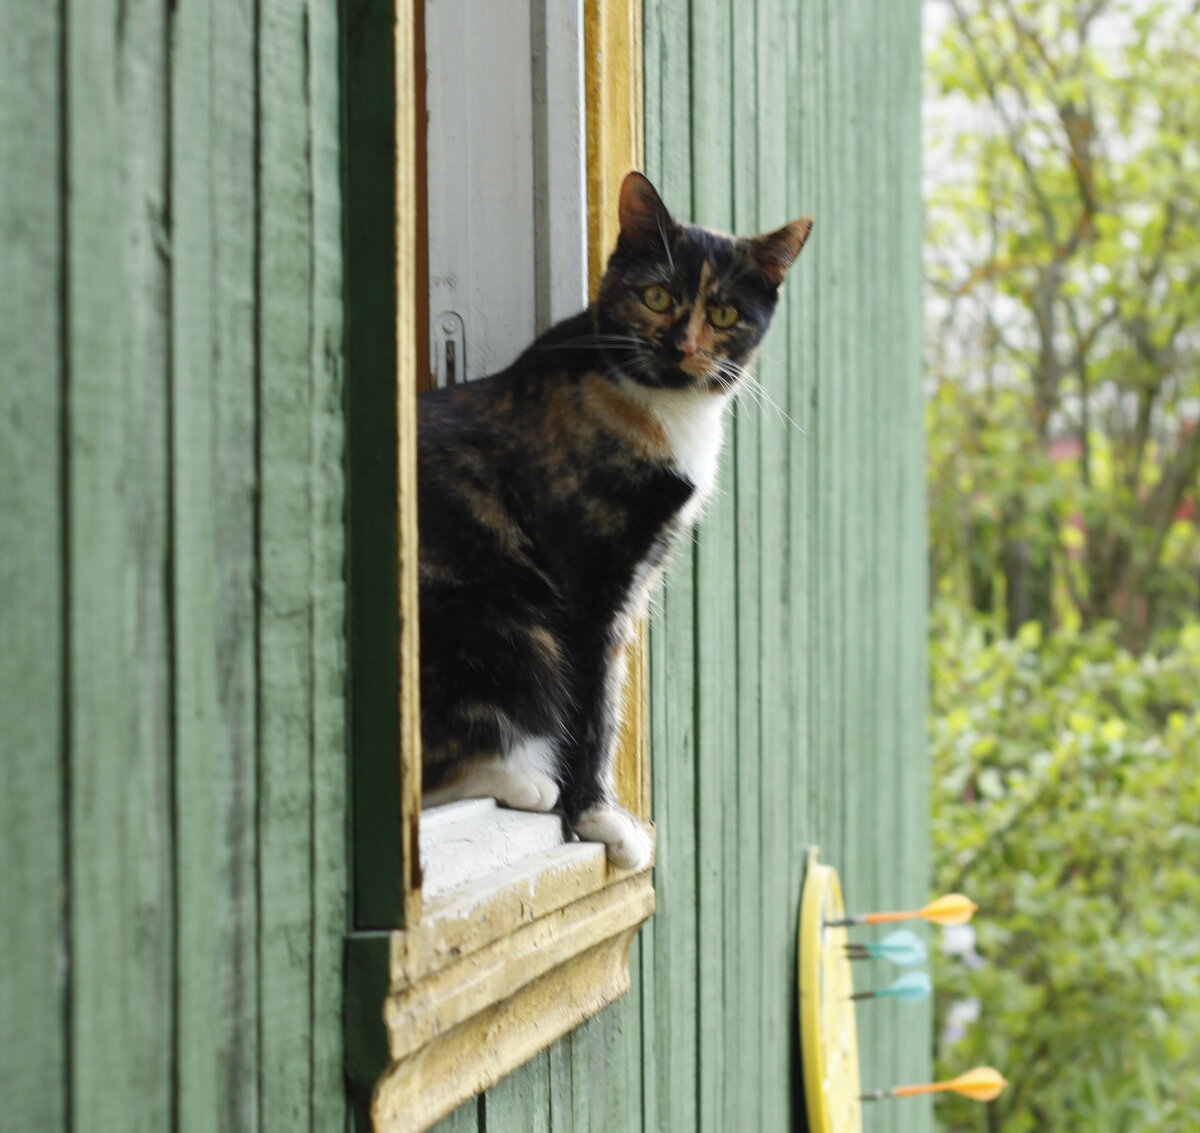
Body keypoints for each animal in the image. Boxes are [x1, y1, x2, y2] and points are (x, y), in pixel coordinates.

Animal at [417, 172, 811, 873]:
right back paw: (524, 781)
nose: (682, 346)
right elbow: (594, 708)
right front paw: (598, 819)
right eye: (656, 297)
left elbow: (612, 694)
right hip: (513, 625)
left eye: (725, 314)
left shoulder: (634, 585)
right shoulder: (591, 587)